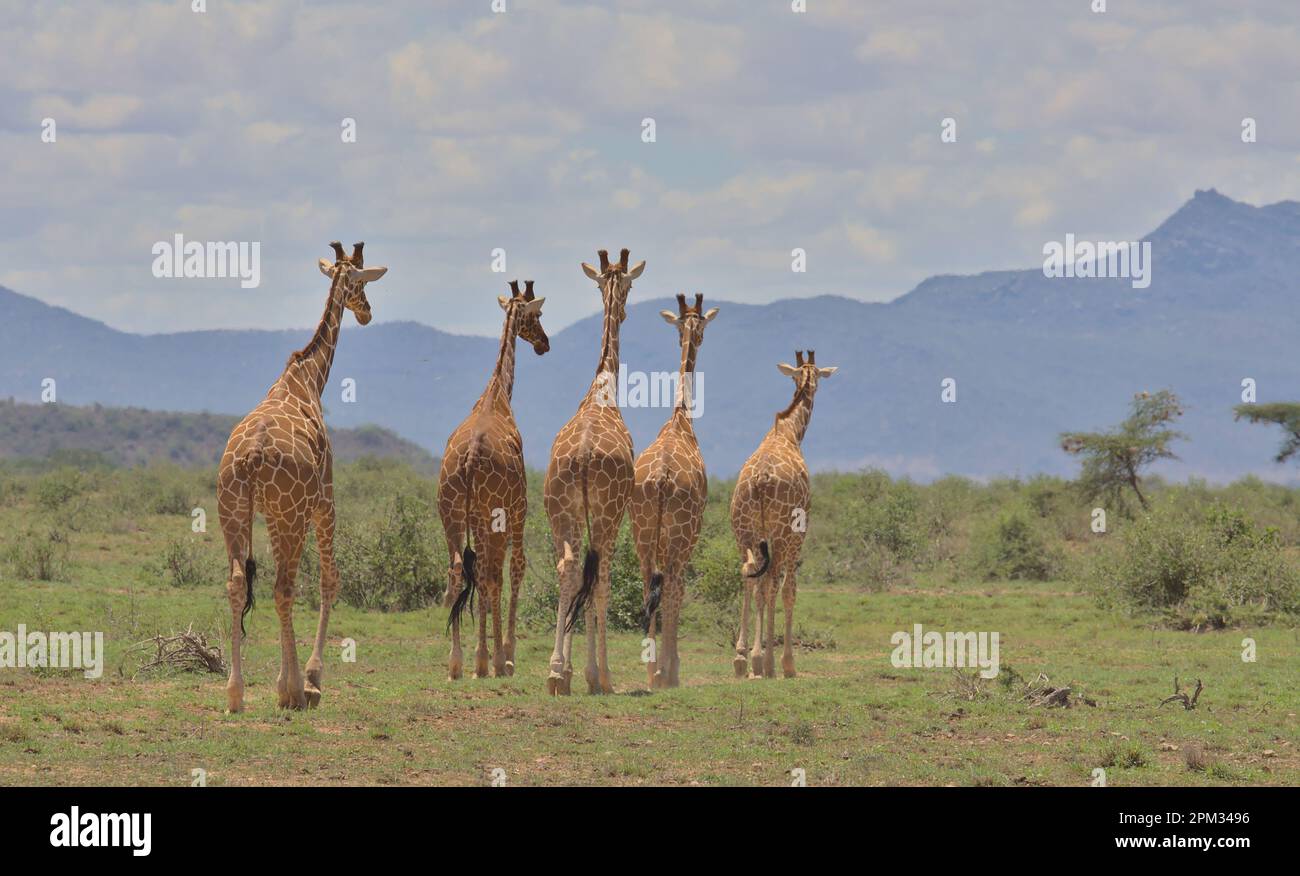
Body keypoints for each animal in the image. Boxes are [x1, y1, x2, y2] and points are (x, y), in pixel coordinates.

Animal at [217, 240, 384, 707]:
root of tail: (251, 458)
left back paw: (235, 692)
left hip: (234, 511)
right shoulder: (325, 500)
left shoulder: (284, 513)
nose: (367, 312)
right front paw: (310, 679)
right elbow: (330, 580)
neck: (308, 376)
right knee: (284, 587)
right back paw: (291, 689)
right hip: (290, 514)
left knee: (238, 583)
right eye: (361, 281)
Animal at [441, 278, 548, 675]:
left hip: (451, 513)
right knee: (492, 574)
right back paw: (495, 660)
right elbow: (513, 569)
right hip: (496, 512)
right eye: (537, 315)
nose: (544, 343)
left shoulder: (477, 516)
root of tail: (471, 457)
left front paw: (482, 657)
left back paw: (457, 662)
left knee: (458, 570)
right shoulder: (519, 506)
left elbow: (484, 575)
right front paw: (505, 654)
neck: (498, 394)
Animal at [728, 350, 837, 681]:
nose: (816, 388)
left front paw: (753, 656)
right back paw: (766, 661)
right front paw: (786, 662)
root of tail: (760, 479)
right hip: (779, 532)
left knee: (750, 575)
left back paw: (742, 657)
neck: (789, 433)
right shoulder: (798, 532)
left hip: (742, 532)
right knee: (772, 583)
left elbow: (763, 585)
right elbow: (788, 590)